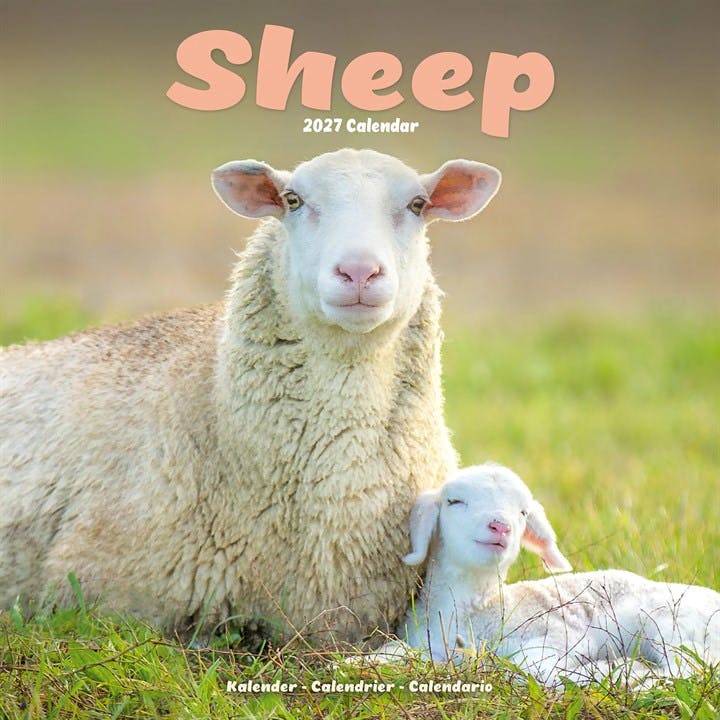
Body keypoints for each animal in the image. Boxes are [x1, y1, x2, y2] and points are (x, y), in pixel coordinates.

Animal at [399, 463, 720, 684]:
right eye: (454, 501)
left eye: (523, 513)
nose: (501, 527)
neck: (479, 608)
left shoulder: (559, 635)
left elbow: (532, 664)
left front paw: (596, 668)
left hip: (669, 623)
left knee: (694, 667)